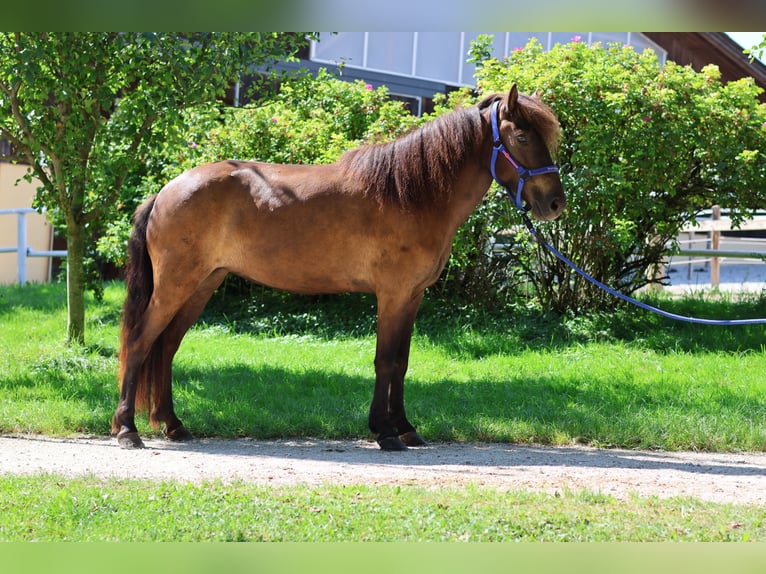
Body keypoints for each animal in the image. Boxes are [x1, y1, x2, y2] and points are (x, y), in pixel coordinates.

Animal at [111, 85, 564, 454]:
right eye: (522, 137)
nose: (555, 203)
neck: (412, 194)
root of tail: (166, 190)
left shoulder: (412, 297)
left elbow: (402, 361)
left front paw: (405, 428)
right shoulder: (392, 295)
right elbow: (386, 361)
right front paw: (384, 432)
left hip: (203, 283)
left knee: (167, 346)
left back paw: (173, 425)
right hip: (176, 285)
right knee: (140, 341)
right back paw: (127, 430)